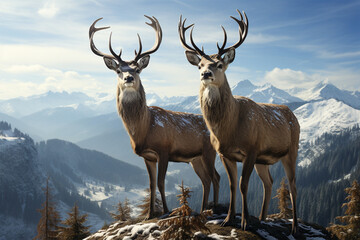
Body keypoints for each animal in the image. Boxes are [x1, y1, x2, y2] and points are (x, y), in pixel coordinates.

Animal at [89, 15, 219, 219]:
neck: (144, 129)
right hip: (195, 158)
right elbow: (150, 185)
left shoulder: (164, 149)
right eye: (118, 70)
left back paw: (214, 208)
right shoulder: (147, 156)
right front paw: (149, 214)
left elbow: (160, 182)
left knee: (216, 177)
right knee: (207, 180)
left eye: (137, 69)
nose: (128, 78)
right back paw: (202, 210)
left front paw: (165, 211)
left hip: (209, 152)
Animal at [179, 10, 300, 233]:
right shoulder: (225, 154)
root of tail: (292, 115)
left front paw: (243, 222)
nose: (206, 74)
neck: (229, 129)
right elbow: (233, 185)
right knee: (269, 182)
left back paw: (294, 226)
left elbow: (244, 185)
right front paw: (228, 219)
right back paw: (262, 218)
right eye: (199, 65)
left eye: (219, 64)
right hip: (264, 159)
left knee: (293, 185)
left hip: (291, 150)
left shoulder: (251, 149)